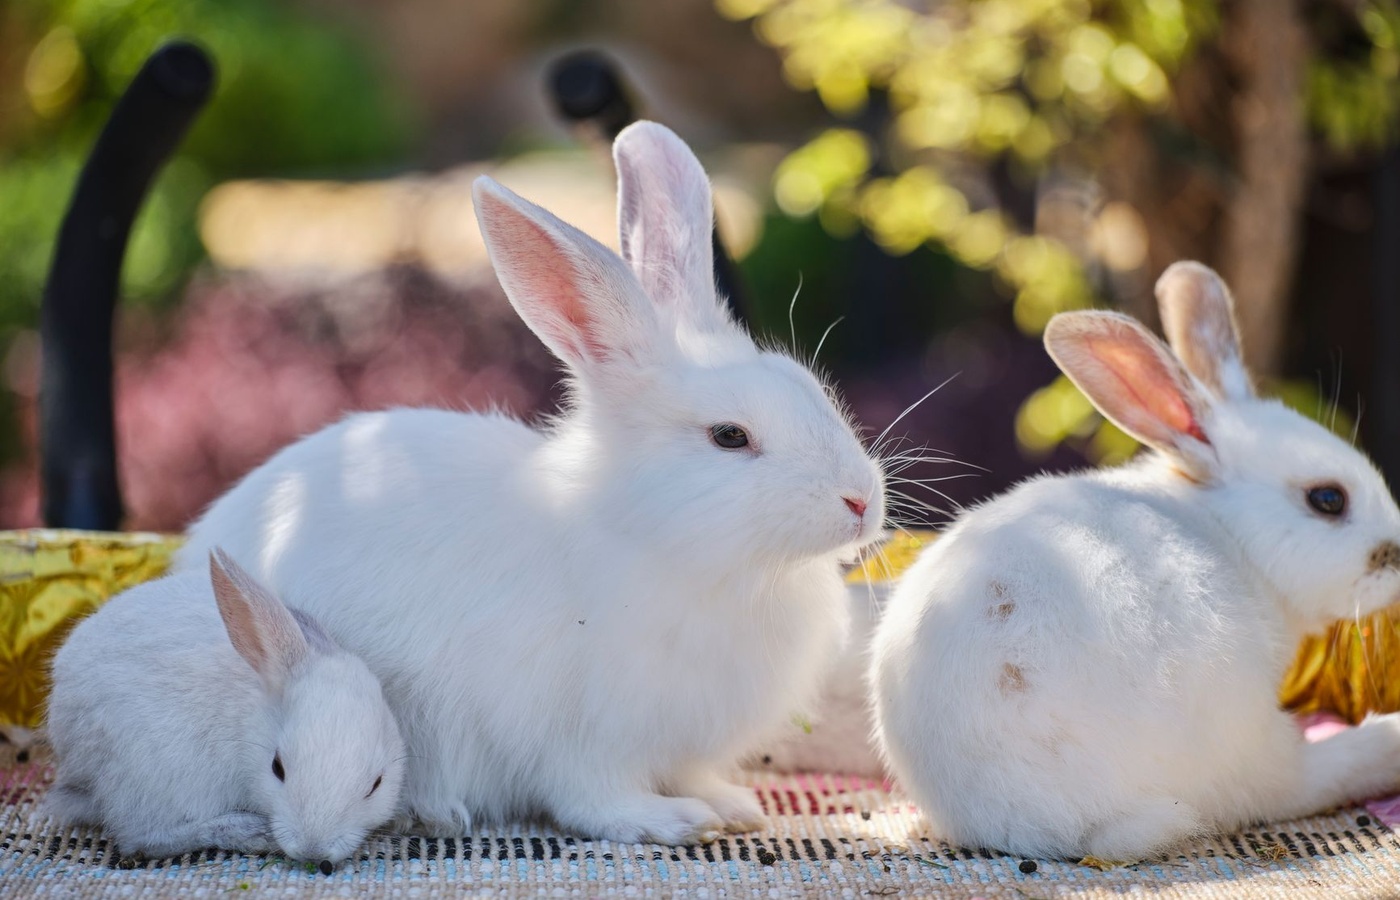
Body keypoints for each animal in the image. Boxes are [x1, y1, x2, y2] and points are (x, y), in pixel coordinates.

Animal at [44, 548, 405, 863]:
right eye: (277, 767)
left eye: (376, 784)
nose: (312, 851)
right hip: (156, 774)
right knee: (143, 839)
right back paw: (251, 832)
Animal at [173, 121, 886, 845]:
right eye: (730, 437)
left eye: (811, 388)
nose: (862, 500)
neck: (656, 543)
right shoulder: (575, 732)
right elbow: (593, 797)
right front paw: (672, 820)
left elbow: (689, 773)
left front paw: (731, 805)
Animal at [870, 262, 1400, 862]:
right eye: (1328, 499)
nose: (1395, 554)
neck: (1230, 530)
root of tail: (1036, 819)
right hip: (1243, 731)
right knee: (1297, 780)